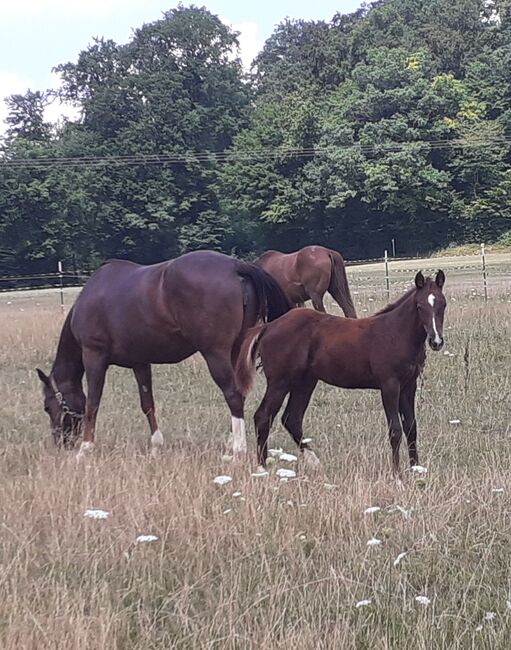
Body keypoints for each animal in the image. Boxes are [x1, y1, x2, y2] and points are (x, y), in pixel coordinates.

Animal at [35, 248, 292, 456]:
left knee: (233, 395)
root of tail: (236, 266)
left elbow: (93, 402)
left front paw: (85, 449)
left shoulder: (94, 356)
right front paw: (156, 445)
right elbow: (147, 403)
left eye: (47, 406)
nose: (61, 443)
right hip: (236, 351)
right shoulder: (140, 362)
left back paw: (238, 448)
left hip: (215, 354)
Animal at [236, 270, 448, 476]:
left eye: (443, 305)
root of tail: (267, 327)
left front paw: (417, 469)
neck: (395, 333)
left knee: (292, 419)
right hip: (280, 382)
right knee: (263, 416)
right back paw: (262, 469)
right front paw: (397, 476)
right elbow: (395, 430)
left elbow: (411, 427)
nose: (436, 341)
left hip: (305, 382)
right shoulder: (389, 385)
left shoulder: (409, 385)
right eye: (419, 306)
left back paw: (316, 464)